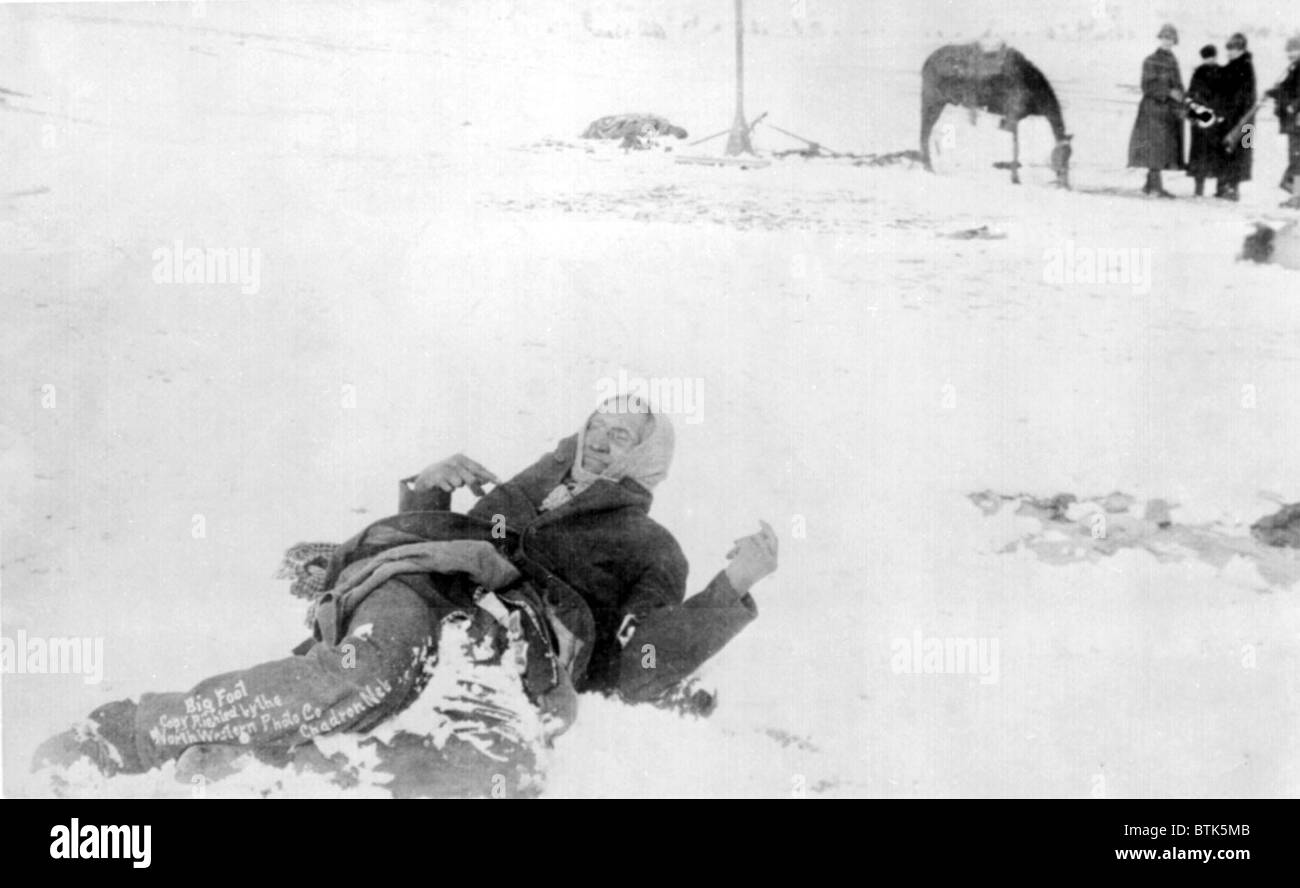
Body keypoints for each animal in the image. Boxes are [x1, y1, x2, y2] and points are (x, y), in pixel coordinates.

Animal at [925, 42, 1076, 187]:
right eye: (1062, 155)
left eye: (1070, 155)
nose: (1065, 183)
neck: (1032, 87)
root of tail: (927, 62)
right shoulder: (1013, 116)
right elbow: (1016, 148)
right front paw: (1015, 178)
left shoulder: (1012, 119)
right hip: (933, 102)